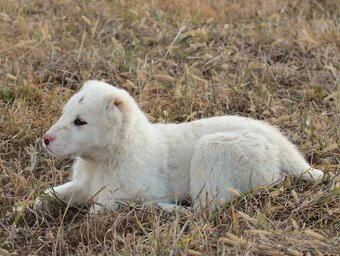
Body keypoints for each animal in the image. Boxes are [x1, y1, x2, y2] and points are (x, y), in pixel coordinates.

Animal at [40, 80, 324, 212]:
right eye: (64, 114)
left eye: (80, 122)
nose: (45, 139)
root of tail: (279, 144)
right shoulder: (82, 184)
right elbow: (48, 194)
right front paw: (31, 207)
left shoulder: (125, 194)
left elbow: (99, 211)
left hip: (211, 152)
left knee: (204, 211)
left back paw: (163, 209)